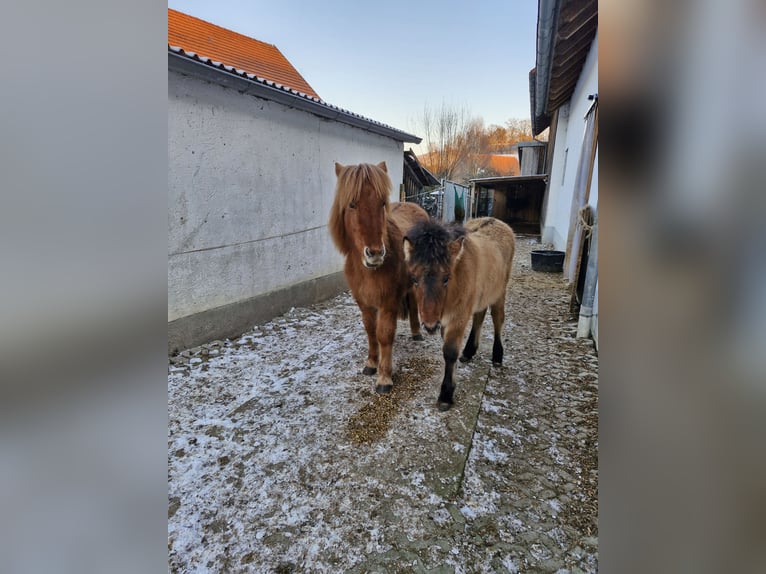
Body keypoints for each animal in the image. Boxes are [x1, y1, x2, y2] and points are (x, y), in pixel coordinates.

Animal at [329, 161, 429, 394]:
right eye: (352, 204)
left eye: (382, 203)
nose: (375, 253)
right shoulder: (364, 303)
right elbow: (371, 331)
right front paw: (371, 364)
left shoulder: (388, 302)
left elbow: (384, 334)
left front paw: (384, 377)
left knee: (414, 303)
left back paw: (417, 333)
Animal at [403, 217, 516, 410]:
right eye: (414, 279)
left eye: (446, 278)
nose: (430, 325)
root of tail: (497, 221)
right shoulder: (445, 320)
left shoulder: (458, 317)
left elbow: (450, 351)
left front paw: (446, 395)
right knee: (479, 316)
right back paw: (469, 351)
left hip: (499, 292)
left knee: (497, 318)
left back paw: (497, 355)